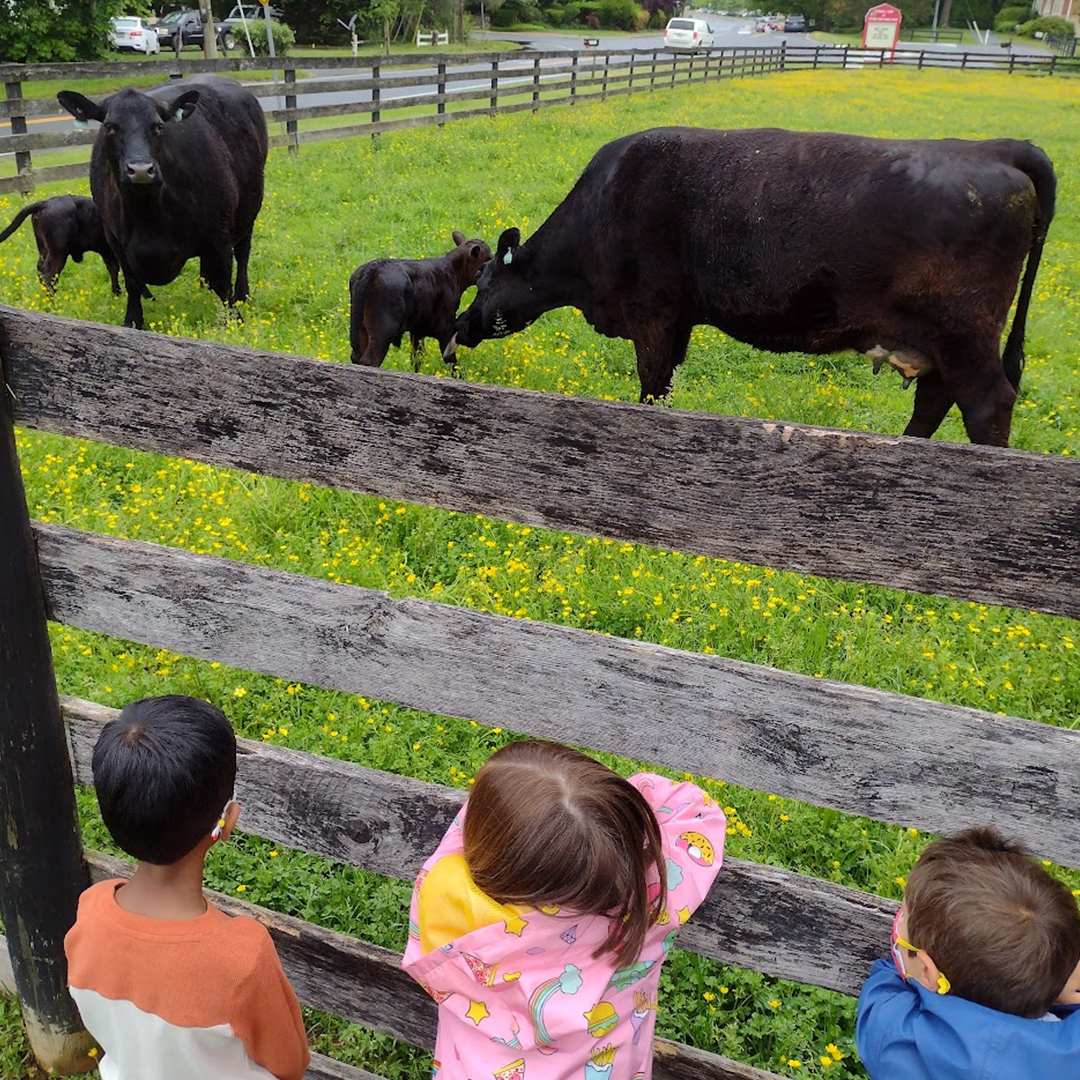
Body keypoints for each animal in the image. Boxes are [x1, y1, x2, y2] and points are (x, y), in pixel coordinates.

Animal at [58, 75, 270, 328]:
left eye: (159, 126)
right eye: (109, 126)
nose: (140, 170)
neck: (148, 217)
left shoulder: (219, 234)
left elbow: (223, 282)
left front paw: (234, 321)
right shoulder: (116, 241)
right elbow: (132, 283)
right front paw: (132, 321)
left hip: (249, 211)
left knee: (243, 253)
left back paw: (243, 294)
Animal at [347, 230, 492, 369]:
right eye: (489, 258)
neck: (453, 272)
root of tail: (373, 268)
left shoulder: (417, 330)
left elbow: (417, 358)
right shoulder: (445, 327)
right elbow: (451, 361)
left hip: (361, 330)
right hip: (383, 331)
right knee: (369, 360)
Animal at [449, 127, 1054, 447]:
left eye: (484, 281)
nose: (459, 326)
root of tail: (994, 147)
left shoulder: (653, 311)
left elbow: (651, 386)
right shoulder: (680, 319)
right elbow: (666, 382)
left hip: (963, 330)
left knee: (986, 402)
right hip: (940, 338)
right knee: (934, 398)